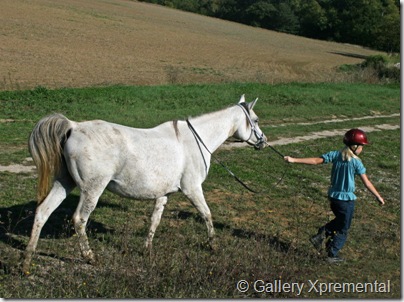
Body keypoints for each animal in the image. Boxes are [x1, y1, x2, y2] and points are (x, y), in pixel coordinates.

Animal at [22, 94, 268, 272]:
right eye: (255, 120)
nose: (263, 141)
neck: (194, 141)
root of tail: (73, 127)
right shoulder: (192, 189)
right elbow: (206, 214)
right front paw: (213, 245)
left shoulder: (164, 194)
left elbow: (154, 221)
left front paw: (147, 250)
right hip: (92, 189)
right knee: (79, 220)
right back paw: (89, 257)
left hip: (64, 183)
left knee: (42, 212)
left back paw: (26, 261)